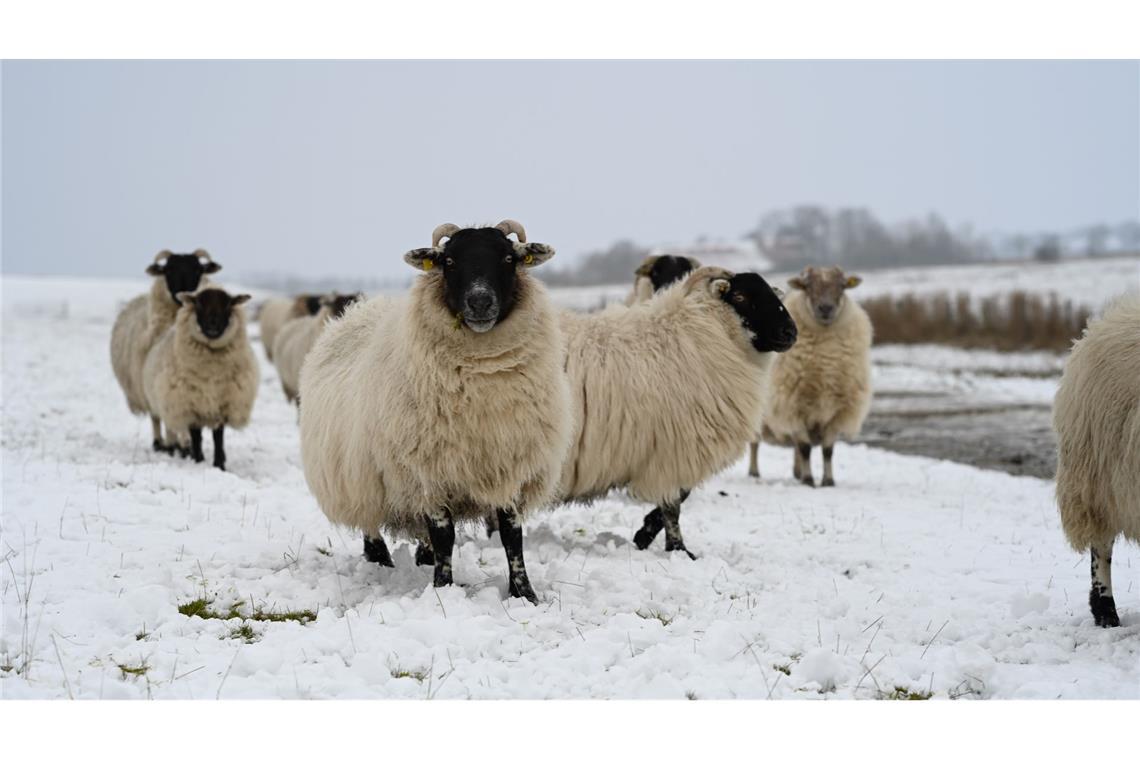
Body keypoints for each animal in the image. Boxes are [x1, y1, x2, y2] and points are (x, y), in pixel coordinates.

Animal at [110, 249, 221, 451]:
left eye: (198, 270)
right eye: (168, 271)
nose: (183, 294)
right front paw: (178, 445)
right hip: (147, 386)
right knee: (156, 417)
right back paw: (162, 443)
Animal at [142, 286, 259, 470]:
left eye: (228, 305)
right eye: (198, 304)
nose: (213, 324)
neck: (210, 372)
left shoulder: (222, 403)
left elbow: (218, 437)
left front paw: (219, 464)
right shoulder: (189, 404)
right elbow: (196, 436)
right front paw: (198, 460)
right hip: (164, 401)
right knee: (166, 425)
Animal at [298, 221, 571, 603]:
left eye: (508, 258)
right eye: (449, 262)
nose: (480, 301)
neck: (484, 375)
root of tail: (356, 313)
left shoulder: (511, 465)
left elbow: (511, 535)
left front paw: (524, 593)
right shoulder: (426, 472)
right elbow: (445, 536)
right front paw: (443, 589)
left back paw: (421, 558)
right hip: (357, 475)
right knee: (370, 522)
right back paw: (380, 560)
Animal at [555, 266, 797, 558]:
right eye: (740, 297)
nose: (790, 332)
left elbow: (677, 498)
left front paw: (645, 533)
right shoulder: (674, 449)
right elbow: (674, 504)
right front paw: (677, 549)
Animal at [749, 265, 872, 487]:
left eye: (842, 286)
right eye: (807, 286)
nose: (825, 308)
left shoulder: (837, 411)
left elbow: (827, 450)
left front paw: (828, 481)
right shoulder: (793, 406)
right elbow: (805, 447)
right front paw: (808, 480)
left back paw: (797, 472)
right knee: (755, 444)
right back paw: (754, 472)